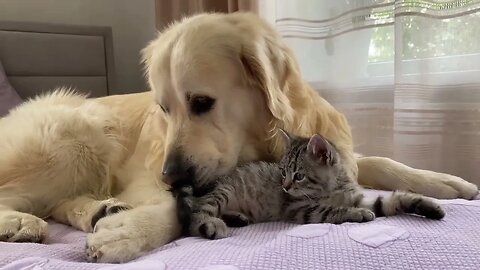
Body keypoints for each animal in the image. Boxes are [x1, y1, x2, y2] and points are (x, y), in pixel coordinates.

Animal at [178, 130, 444, 239]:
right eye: (283, 172)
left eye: (298, 176)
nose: (285, 187)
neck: (332, 188)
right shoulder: (299, 208)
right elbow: (331, 210)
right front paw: (356, 214)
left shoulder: (359, 196)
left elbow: (392, 200)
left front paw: (428, 206)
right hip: (222, 192)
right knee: (195, 215)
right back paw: (212, 225)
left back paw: (238, 218)